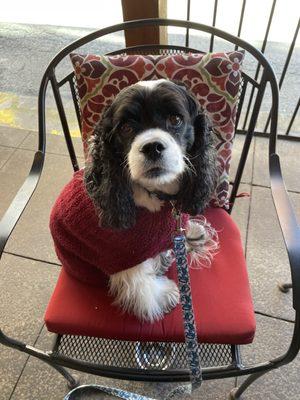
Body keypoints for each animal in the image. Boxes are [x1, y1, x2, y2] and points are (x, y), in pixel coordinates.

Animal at [84, 79, 218, 322]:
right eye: (126, 127)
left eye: (175, 119)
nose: (152, 147)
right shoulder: (122, 253)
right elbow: (138, 282)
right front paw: (163, 296)